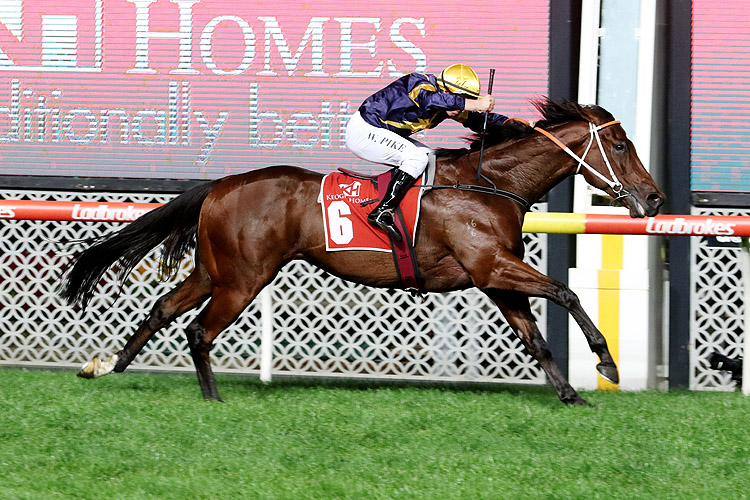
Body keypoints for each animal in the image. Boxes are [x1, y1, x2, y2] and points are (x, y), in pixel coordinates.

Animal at [61, 98, 668, 406]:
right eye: (620, 145)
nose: (655, 198)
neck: (488, 184)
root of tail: (220, 186)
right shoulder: (491, 265)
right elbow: (565, 292)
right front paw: (607, 361)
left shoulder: (494, 275)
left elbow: (535, 337)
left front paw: (570, 395)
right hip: (243, 279)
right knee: (197, 331)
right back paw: (211, 398)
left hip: (218, 272)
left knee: (164, 309)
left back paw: (107, 366)